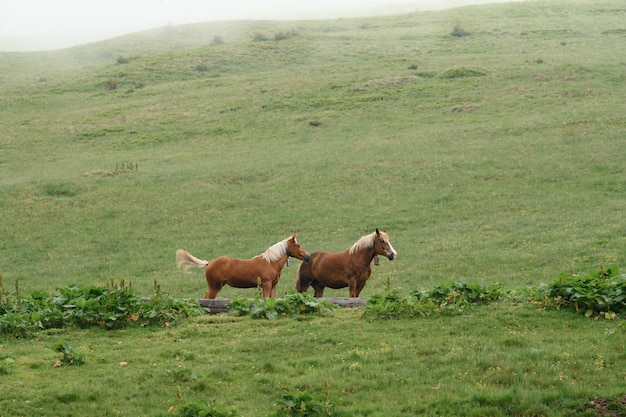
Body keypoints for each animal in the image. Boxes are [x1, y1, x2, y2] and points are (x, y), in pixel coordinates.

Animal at [176, 234, 310, 300]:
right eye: (298, 245)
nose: (308, 256)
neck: (270, 262)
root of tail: (209, 263)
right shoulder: (266, 285)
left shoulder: (273, 286)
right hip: (214, 287)